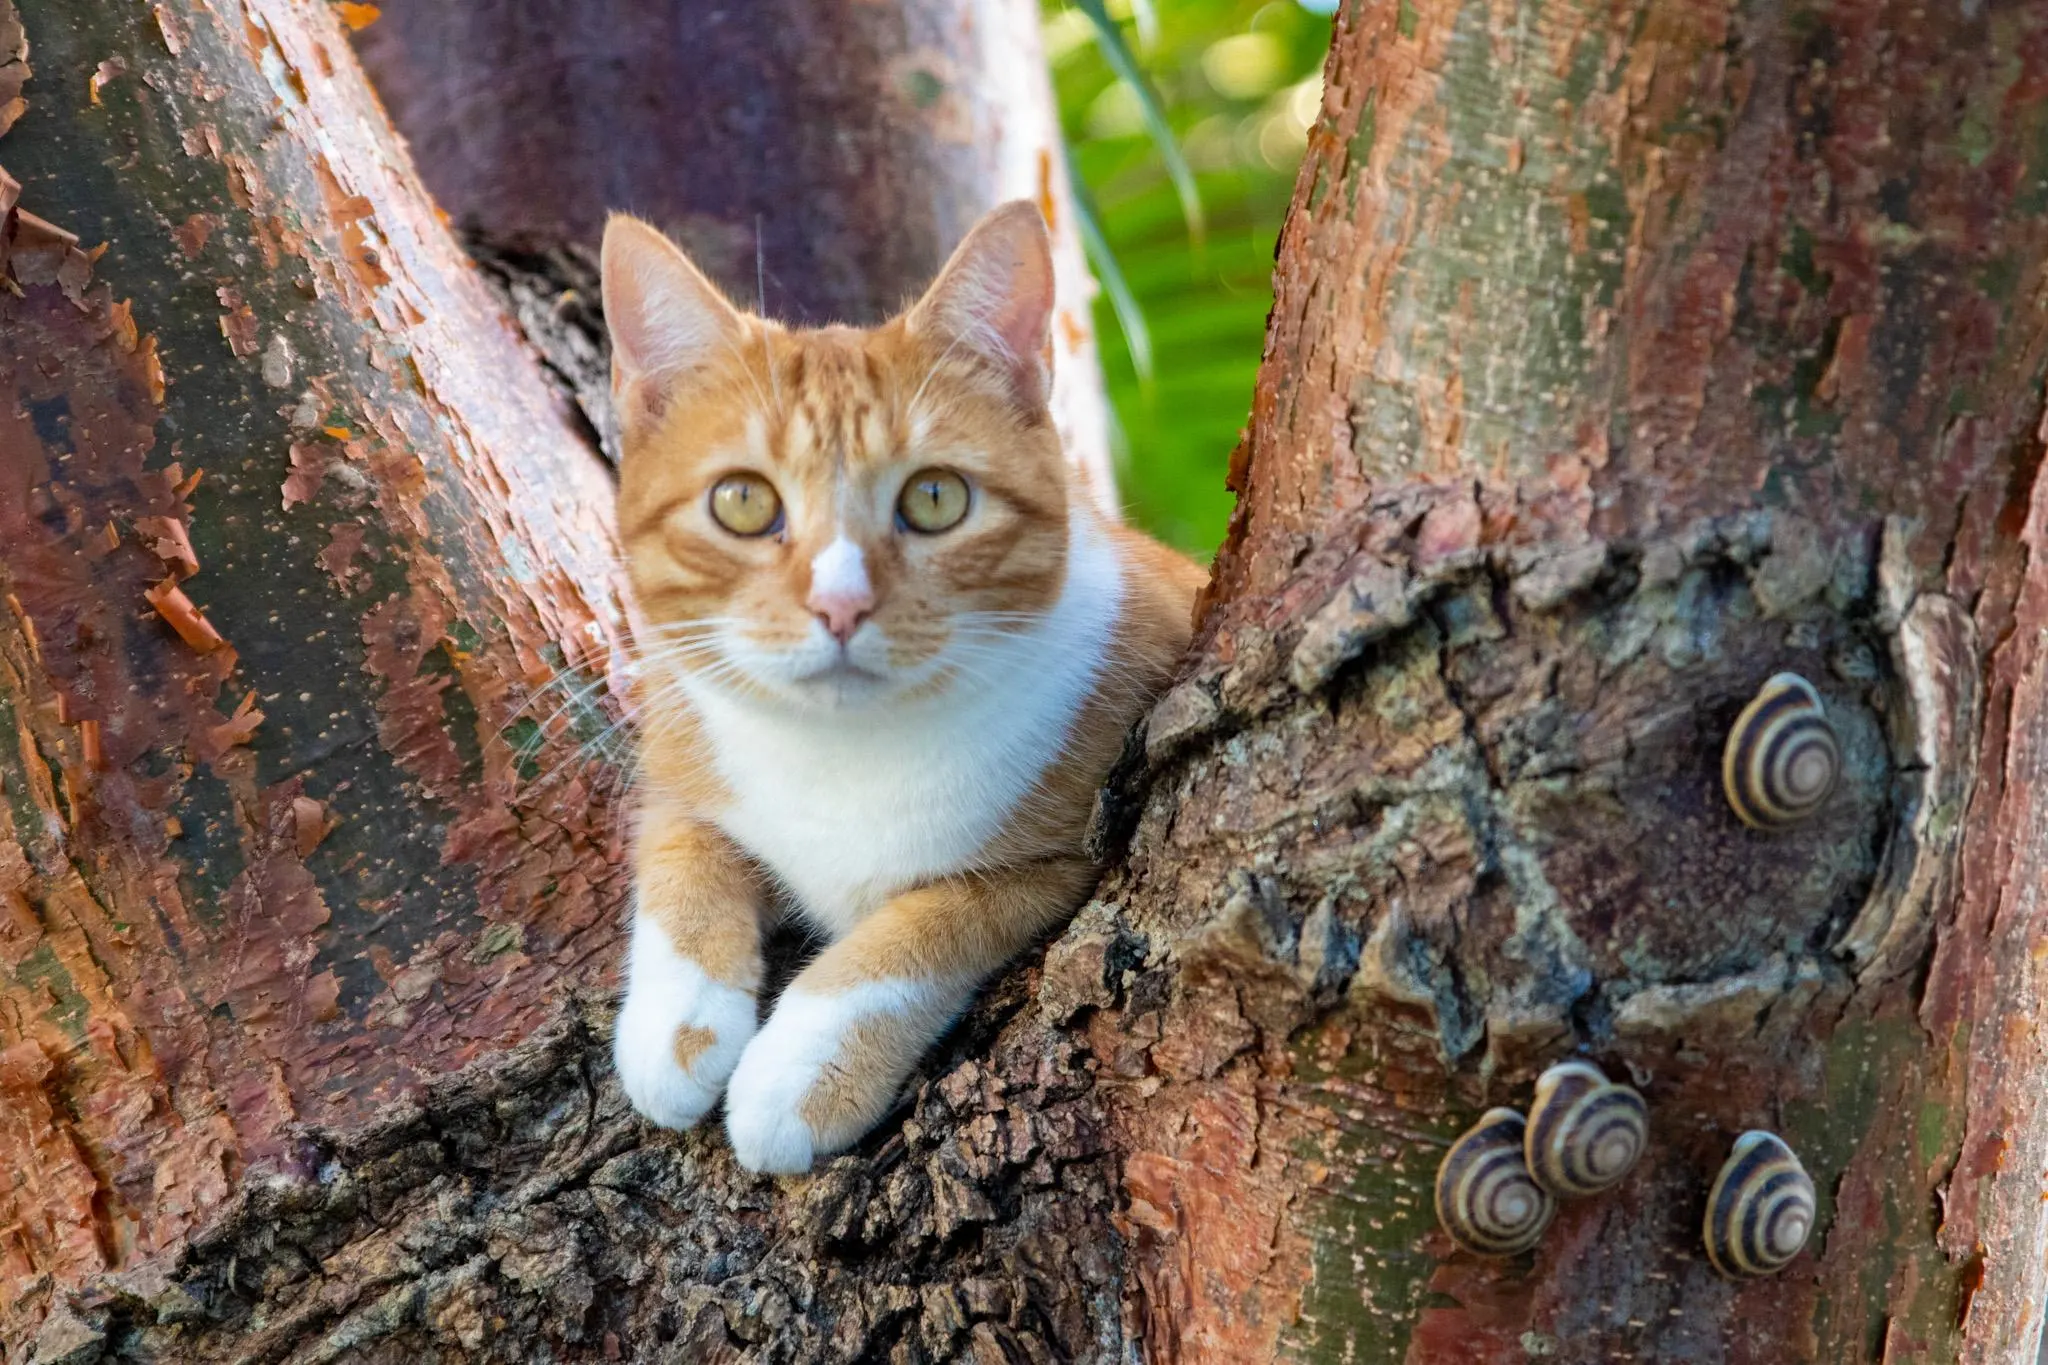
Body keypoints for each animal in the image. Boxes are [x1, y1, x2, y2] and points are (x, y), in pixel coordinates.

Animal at [598, 202, 1196, 1178]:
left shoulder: (1069, 858)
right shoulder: (681, 757)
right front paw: (676, 1029)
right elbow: (682, 856)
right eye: (740, 502)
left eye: (936, 497)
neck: (841, 755)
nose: (840, 603)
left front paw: (799, 1069)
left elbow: (924, 924)